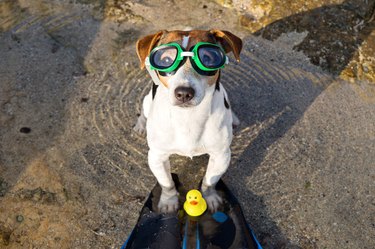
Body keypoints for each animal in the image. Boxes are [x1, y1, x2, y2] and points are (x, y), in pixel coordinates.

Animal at [134, 29, 242, 212]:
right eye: (166, 60)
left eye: (208, 59)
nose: (184, 93)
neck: (188, 117)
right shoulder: (156, 156)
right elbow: (167, 183)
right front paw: (169, 201)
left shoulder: (221, 155)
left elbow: (209, 181)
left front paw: (210, 198)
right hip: (147, 102)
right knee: (143, 111)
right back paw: (141, 126)